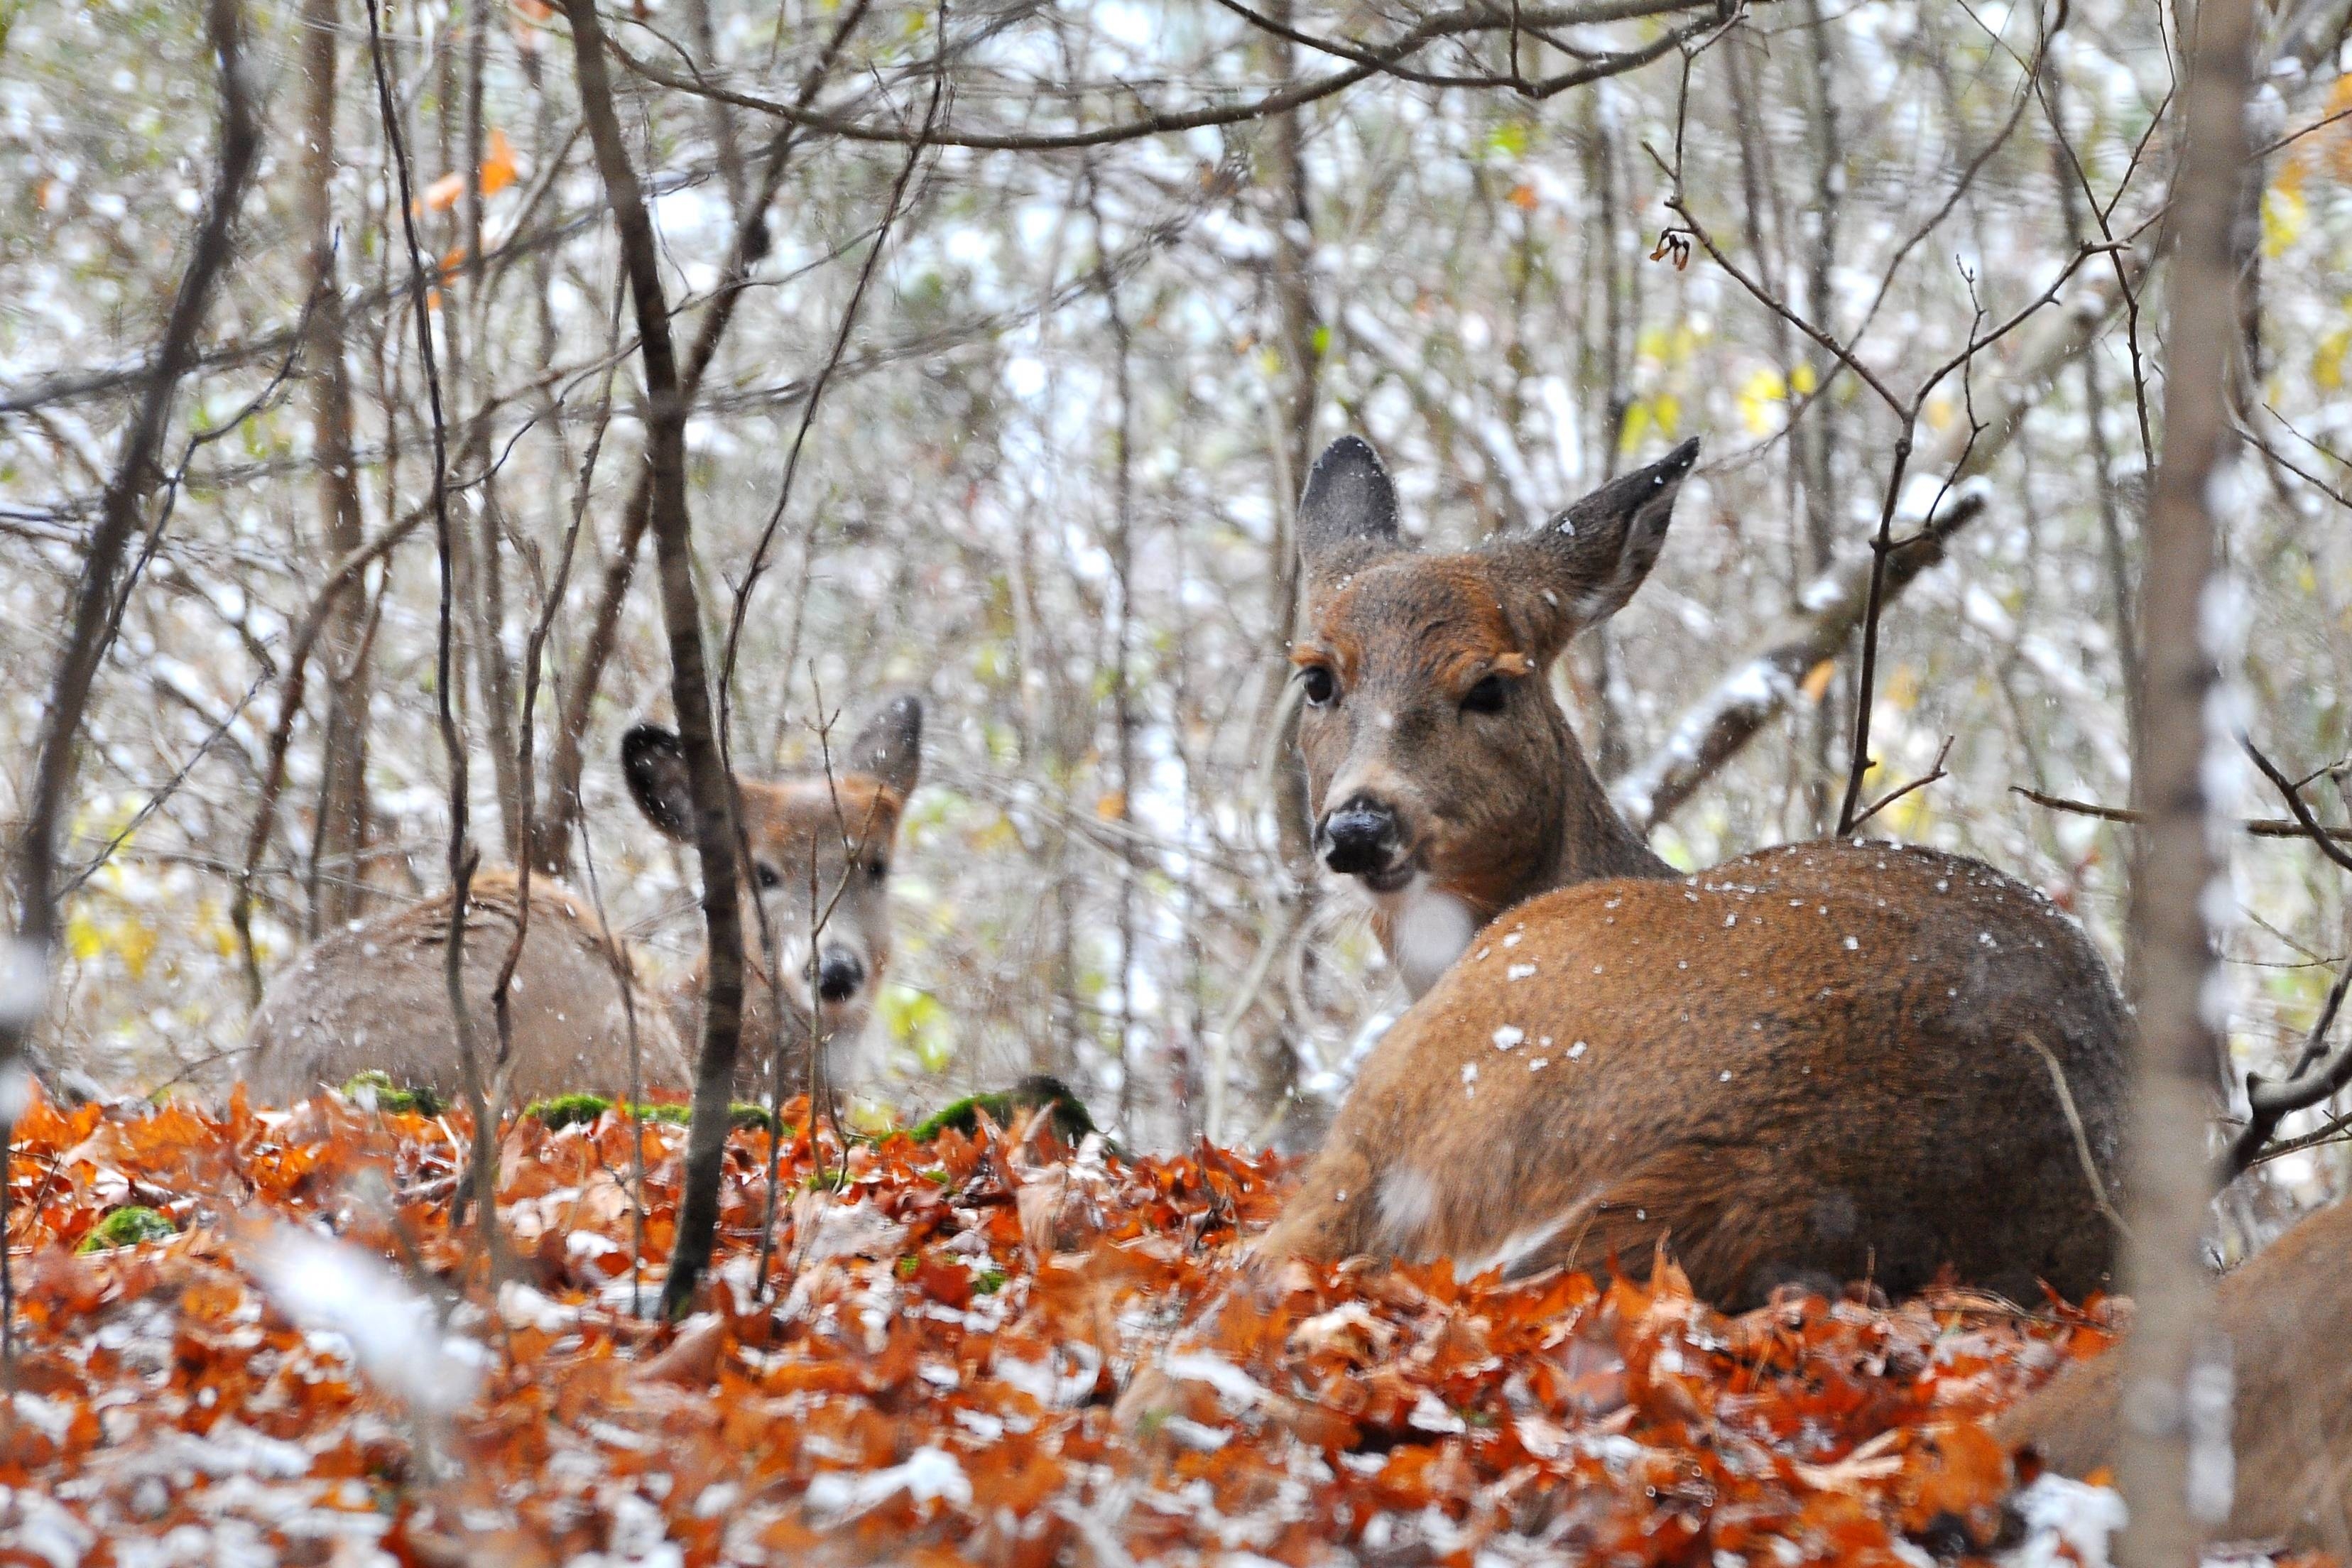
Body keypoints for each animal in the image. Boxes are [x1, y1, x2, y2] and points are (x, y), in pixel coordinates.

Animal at [1251, 435, 2135, 1307]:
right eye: (1318, 678)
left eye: (1491, 687)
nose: (1362, 824)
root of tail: (1746, 1156)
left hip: (1454, 1044)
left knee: (1282, 1250)